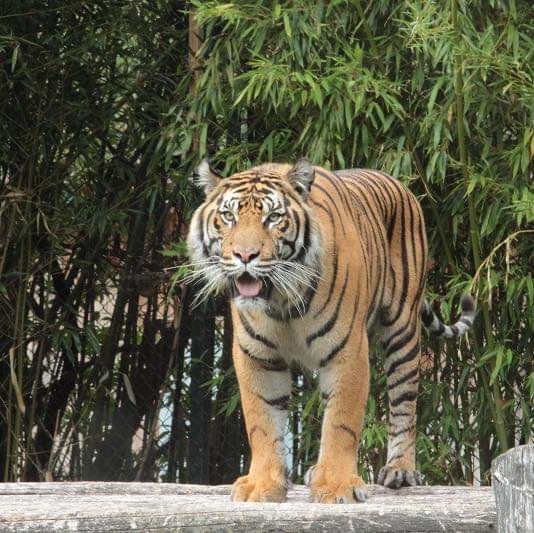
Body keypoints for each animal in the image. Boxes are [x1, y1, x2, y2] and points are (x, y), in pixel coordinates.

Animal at [186, 159, 476, 502]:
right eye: (228, 216)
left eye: (273, 217)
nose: (245, 256)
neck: (281, 301)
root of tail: (399, 183)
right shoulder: (256, 356)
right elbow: (262, 423)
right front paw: (263, 485)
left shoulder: (348, 351)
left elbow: (341, 422)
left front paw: (338, 485)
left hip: (403, 331)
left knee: (404, 401)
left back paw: (400, 471)